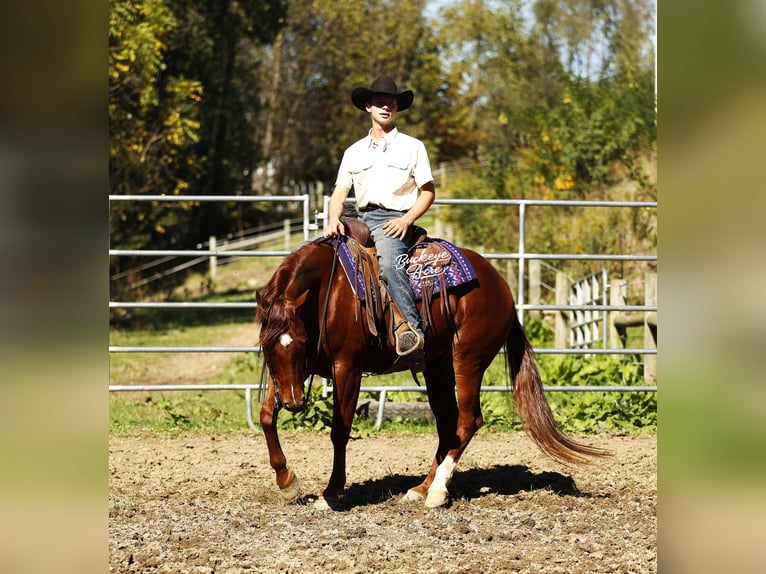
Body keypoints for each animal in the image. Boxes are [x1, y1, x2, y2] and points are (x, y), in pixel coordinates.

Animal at [255, 233, 608, 509]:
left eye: (301, 342)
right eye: (267, 347)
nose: (295, 403)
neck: (330, 294)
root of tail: (500, 285)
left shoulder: (347, 367)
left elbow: (339, 430)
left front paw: (330, 494)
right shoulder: (292, 374)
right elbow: (266, 416)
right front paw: (287, 481)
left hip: (468, 359)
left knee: (468, 420)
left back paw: (437, 491)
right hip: (437, 366)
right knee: (447, 423)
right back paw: (421, 487)